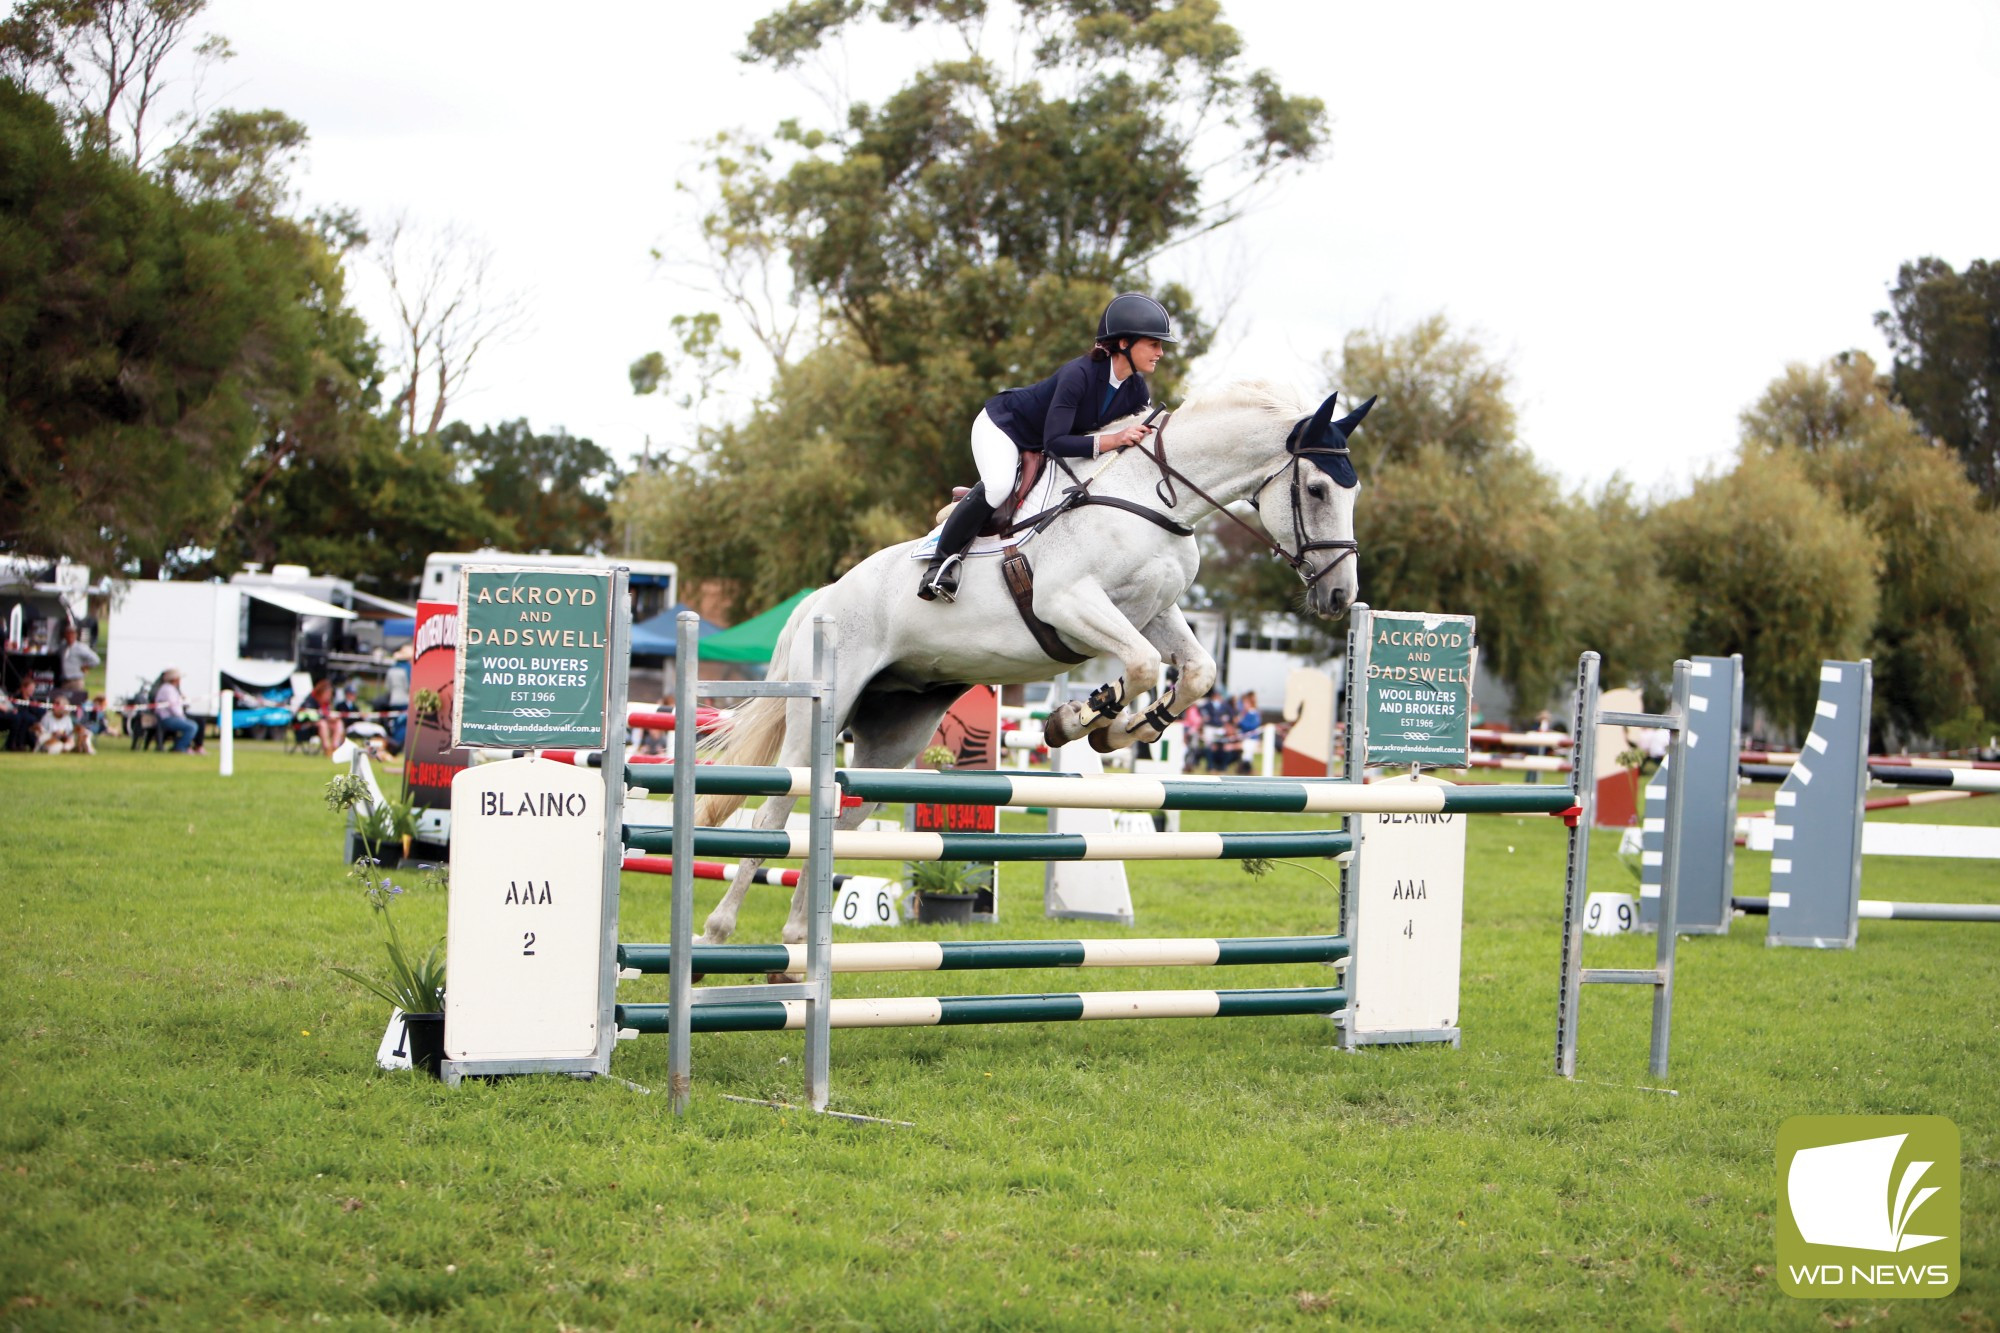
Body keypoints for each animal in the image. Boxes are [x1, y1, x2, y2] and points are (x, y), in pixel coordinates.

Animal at [696, 378, 1368, 948]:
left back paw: (796, 939)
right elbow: (1143, 664)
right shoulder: (1069, 602)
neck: (1154, 499)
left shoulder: (1156, 608)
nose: (1340, 596)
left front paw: (1114, 726)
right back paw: (719, 930)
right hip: (819, 717)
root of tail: (823, 597)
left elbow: (1191, 672)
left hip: (892, 737)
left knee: (839, 819)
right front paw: (1085, 719)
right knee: (775, 811)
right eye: (1317, 489)